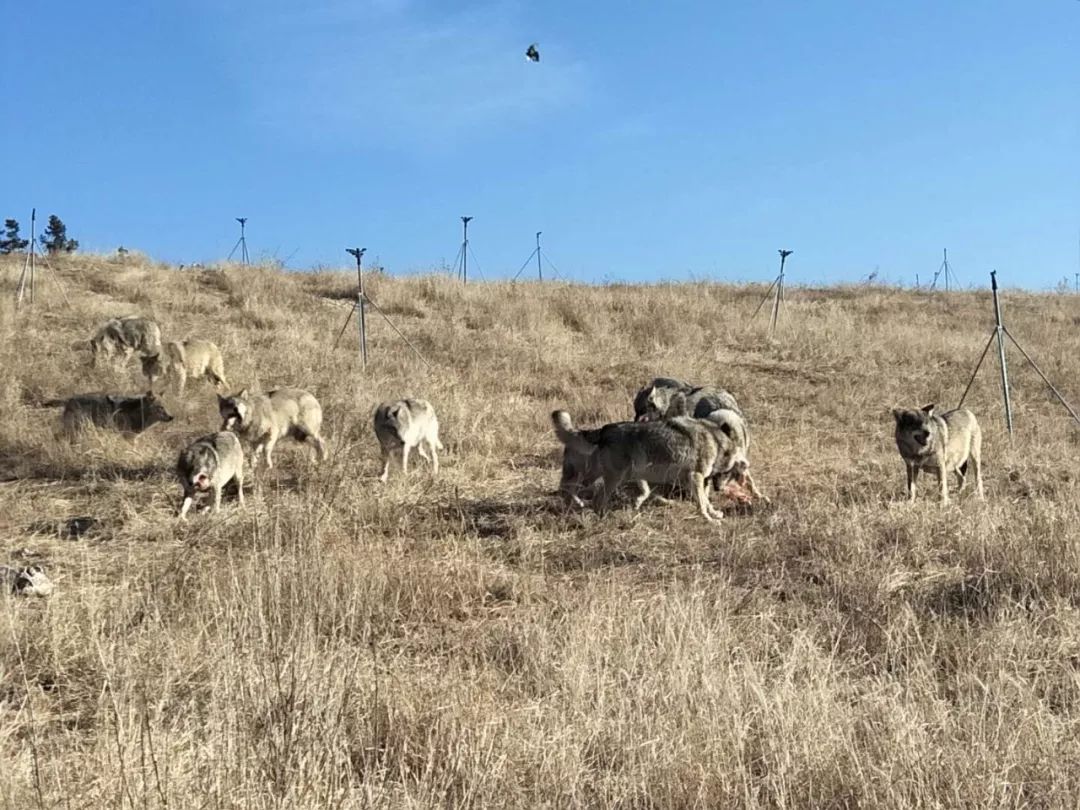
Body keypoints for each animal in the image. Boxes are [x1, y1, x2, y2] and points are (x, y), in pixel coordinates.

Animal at [43, 393, 174, 438]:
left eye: (166, 407)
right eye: (160, 407)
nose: (171, 417)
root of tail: (69, 399)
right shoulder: (127, 436)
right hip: (75, 429)